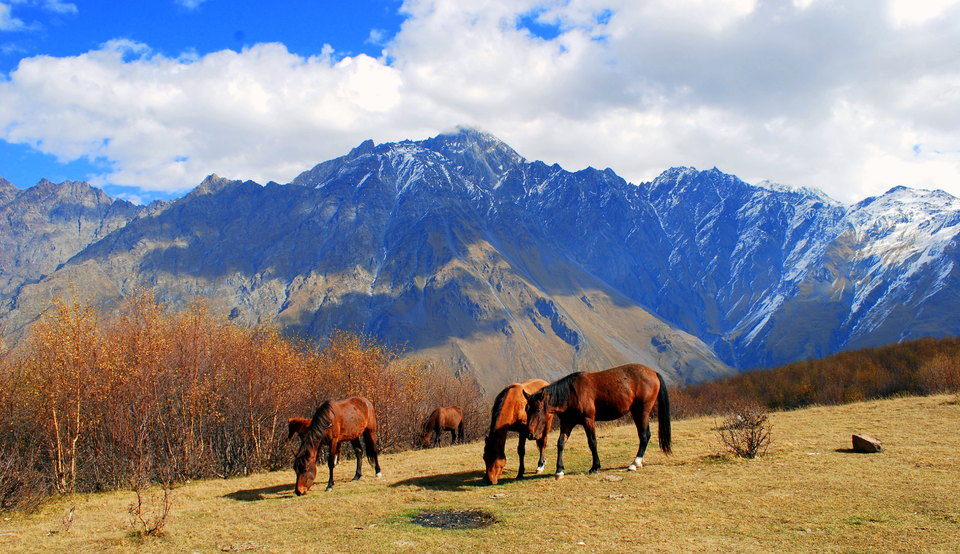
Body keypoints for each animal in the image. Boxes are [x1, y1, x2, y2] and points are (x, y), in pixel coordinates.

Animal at [520, 364, 672, 476]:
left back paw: (634, 463)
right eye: (526, 410)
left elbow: (592, 442)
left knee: (644, 435)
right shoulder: (567, 423)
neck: (571, 394)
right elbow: (561, 443)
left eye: (537, 410)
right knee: (644, 435)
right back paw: (639, 462)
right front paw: (559, 470)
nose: (530, 434)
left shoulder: (588, 420)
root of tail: (653, 372)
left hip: (641, 411)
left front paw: (595, 467)